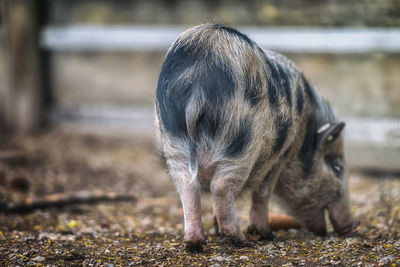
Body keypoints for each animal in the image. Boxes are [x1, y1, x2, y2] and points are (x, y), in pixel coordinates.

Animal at [155, 23, 358, 253]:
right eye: (337, 167)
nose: (353, 226)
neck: (304, 133)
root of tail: (198, 81)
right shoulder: (280, 155)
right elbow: (263, 192)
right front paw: (266, 235)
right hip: (241, 141)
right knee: (220, 187)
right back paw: (241, 240)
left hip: (174, 139)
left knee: (187, 185)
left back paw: (195, 244)